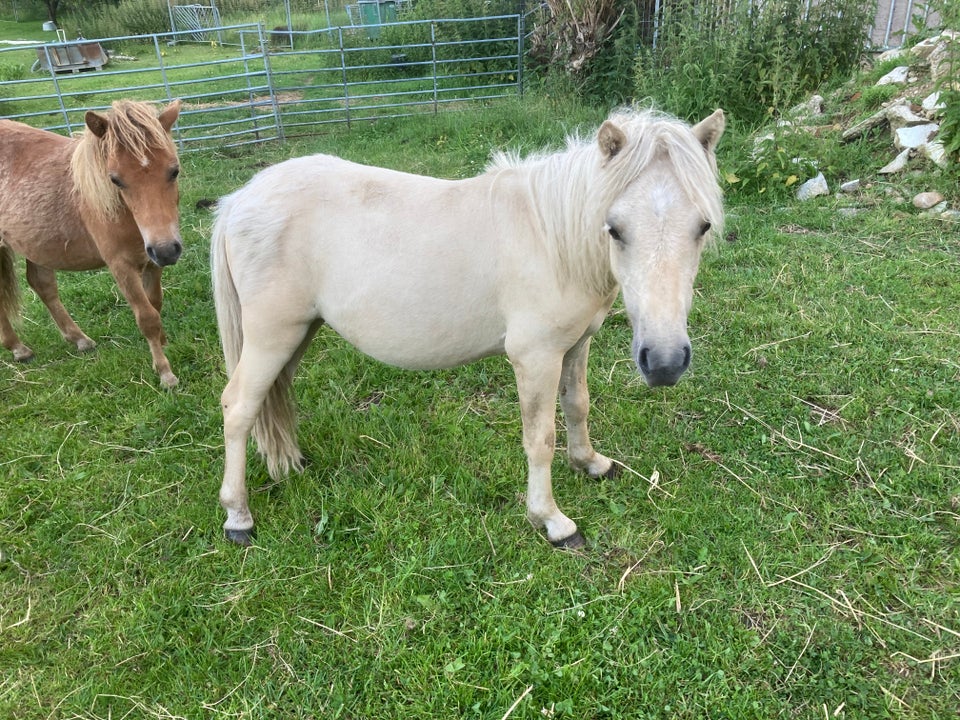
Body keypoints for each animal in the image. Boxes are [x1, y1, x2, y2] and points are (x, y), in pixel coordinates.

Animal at [1, 101, 184, 388]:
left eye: (174, 170)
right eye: (116, 180)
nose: (166, 250)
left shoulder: (152, 261)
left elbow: (156, 304)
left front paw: (164, 344)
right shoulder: (122, 267)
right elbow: (147, 318)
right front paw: (165, 372)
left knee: (42, 285)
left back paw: (79, 340)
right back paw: (19, 348)